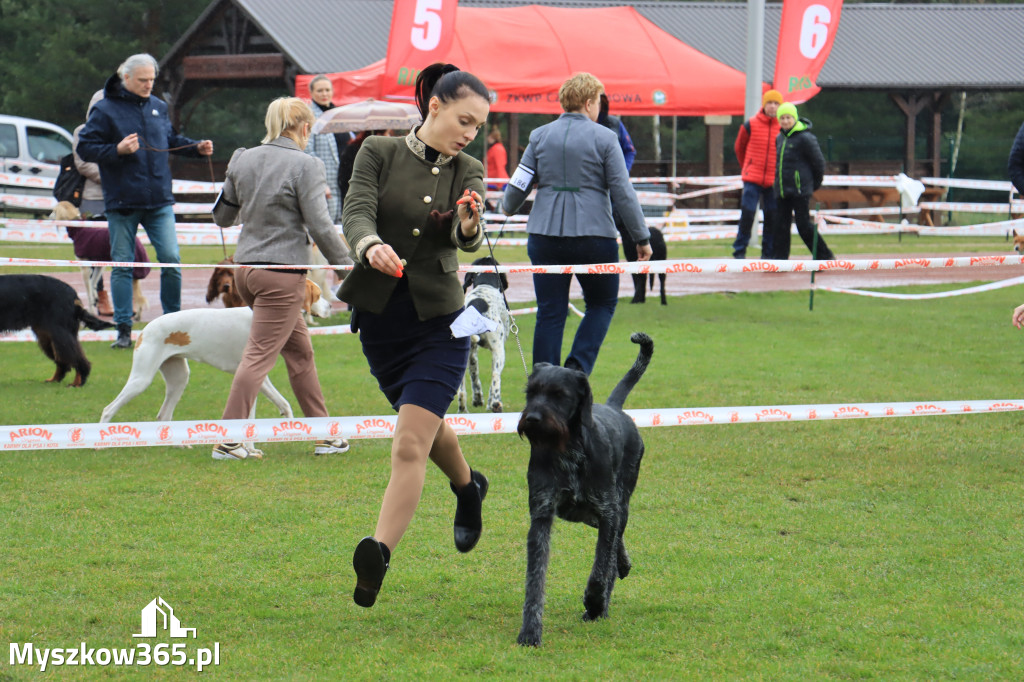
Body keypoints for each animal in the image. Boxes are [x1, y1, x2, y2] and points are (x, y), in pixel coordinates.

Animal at [99, 278, 327, 421]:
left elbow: (283, 404)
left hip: (179, 378)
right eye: (318, 295)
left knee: (164, 415)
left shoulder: (260, 379)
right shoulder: (254, 375)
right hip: (141, 379)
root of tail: (146, 329)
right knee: (108, 410)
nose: (330, 306)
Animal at [516, 331, 651, 647]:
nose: (533, 419)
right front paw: (530, 630)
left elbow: (601, 569)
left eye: (559, 395)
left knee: (613, 546)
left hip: (619, 504)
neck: (568, 449)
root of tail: (614, 408)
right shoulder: (541, 515)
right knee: (616, 543)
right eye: (531, 392)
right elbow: (535, 579)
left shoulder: (607, 511)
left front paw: (595, 602)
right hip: (591, 514)